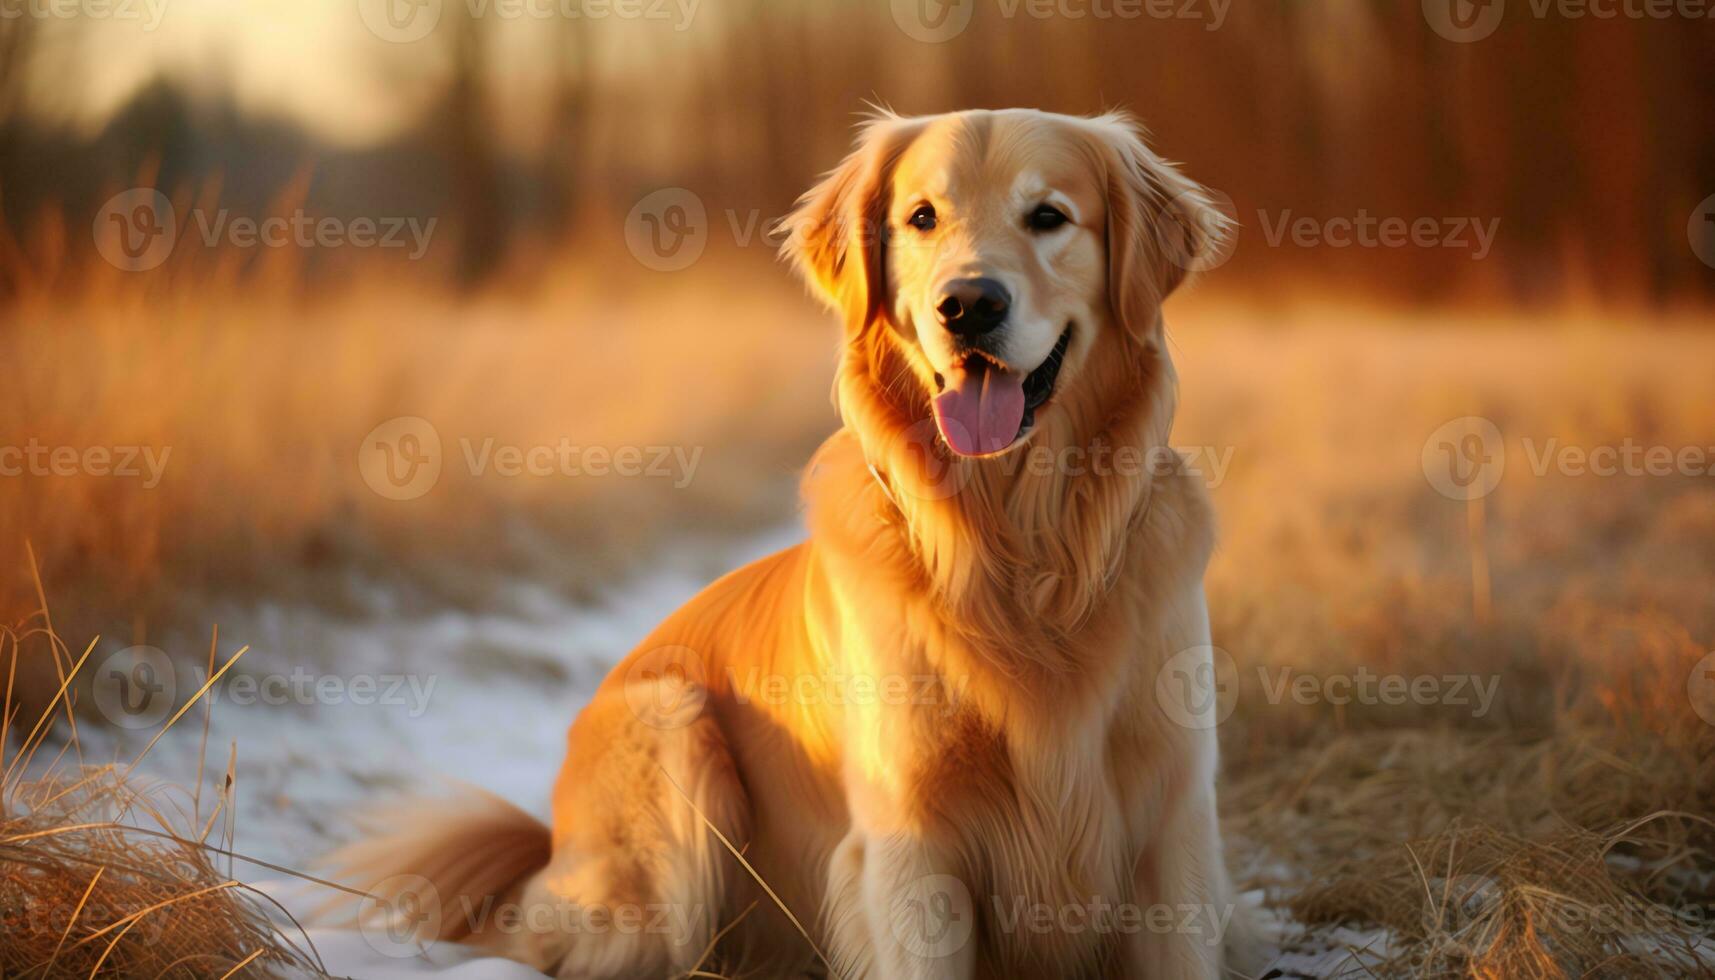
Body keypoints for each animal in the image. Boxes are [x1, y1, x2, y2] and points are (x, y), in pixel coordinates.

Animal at [330, 109, 1262, 980]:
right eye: (922, 217)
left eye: (1048, 217)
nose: (967, 306)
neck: (1014, 544)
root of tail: (546, 841)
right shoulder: (908, 850)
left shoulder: (1173, 836)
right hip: (672, 738)